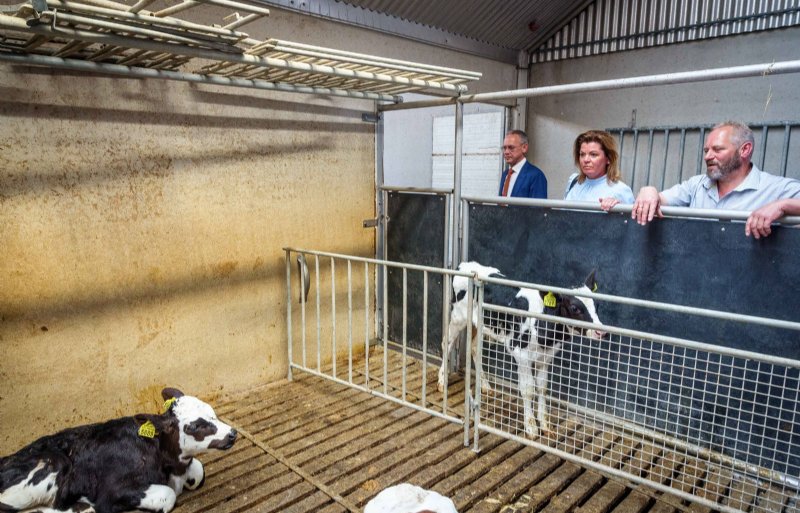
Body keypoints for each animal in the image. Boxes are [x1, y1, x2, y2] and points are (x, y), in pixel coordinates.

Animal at [0, 388, 236, 512]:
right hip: (52, 462)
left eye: (212, 412)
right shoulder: (111, 491)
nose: (233, 433)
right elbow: (167, 496)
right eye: (194, 426)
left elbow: (198, 470)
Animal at [438, 262, 608, 438]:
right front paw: (531, 427)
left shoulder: (546, 357)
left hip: (480, 324)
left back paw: (485, 386)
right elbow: (528, 390)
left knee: (474, 349)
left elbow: (542, 388)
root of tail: (465, 265)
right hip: (458, 317)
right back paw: (442, 381)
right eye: (574, 308)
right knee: (447, 343)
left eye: (598, 305)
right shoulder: (522, 355)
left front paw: (545, 425)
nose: (601, 333)